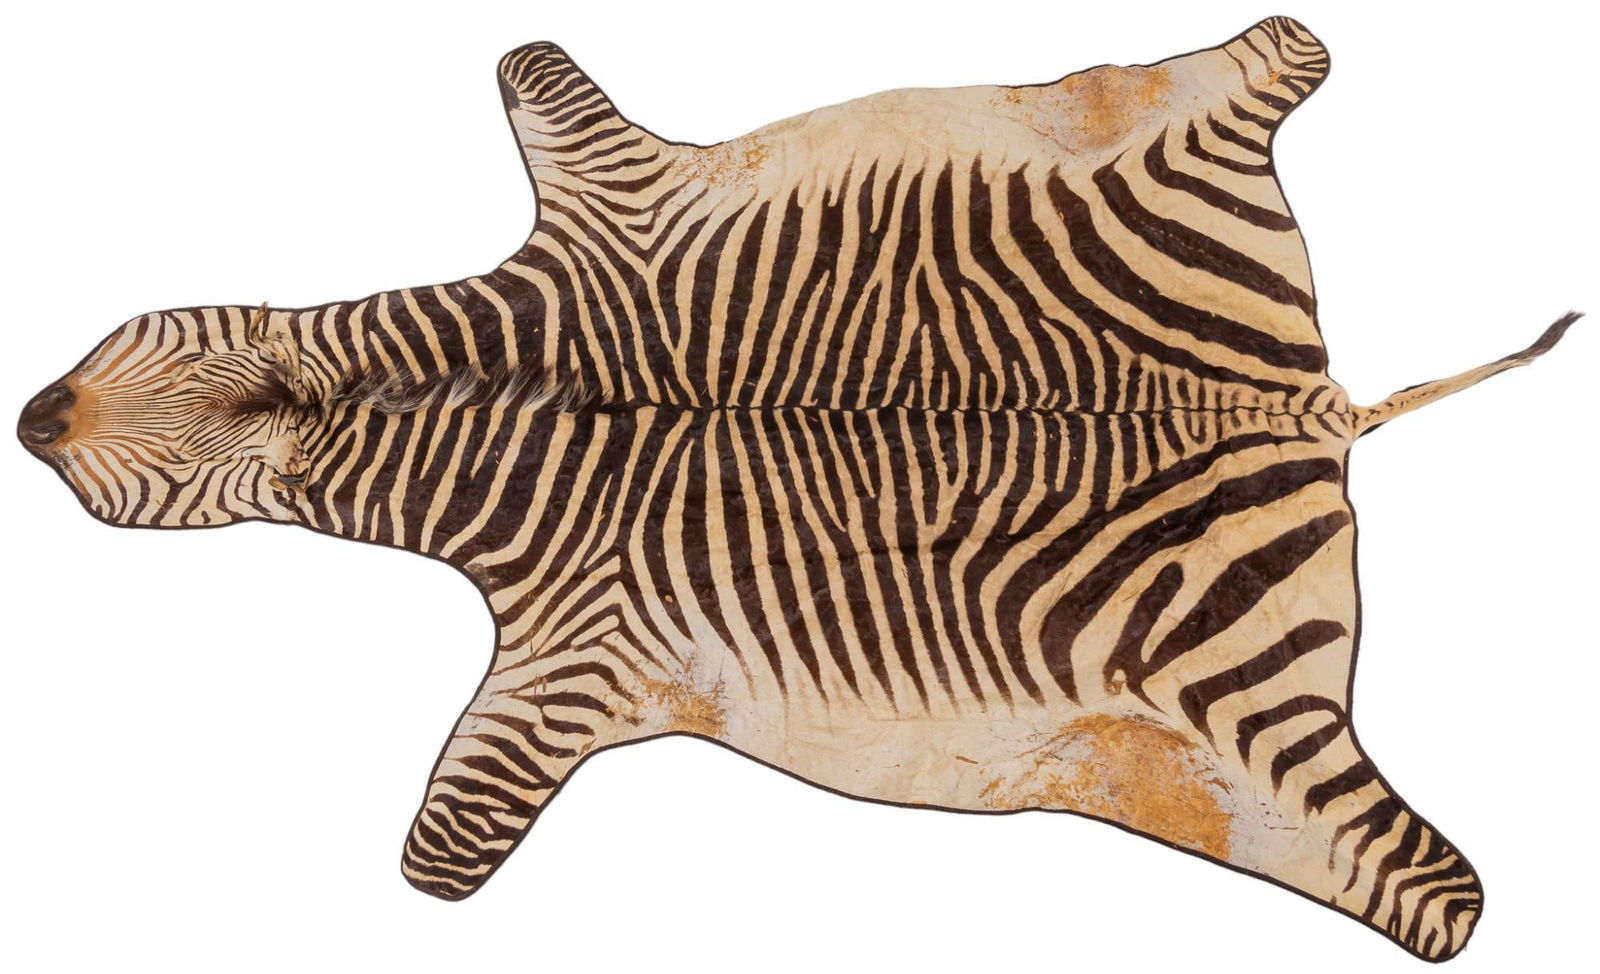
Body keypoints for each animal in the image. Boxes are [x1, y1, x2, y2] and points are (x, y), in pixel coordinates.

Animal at [14, 17, 1579, 962]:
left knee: (1432, 890)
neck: (457, 400)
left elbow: (449, 838)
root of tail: (1309, 399)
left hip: (1238, 733)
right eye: (128, 334)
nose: (33, 415)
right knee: (1276, 49)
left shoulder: (568, 646)